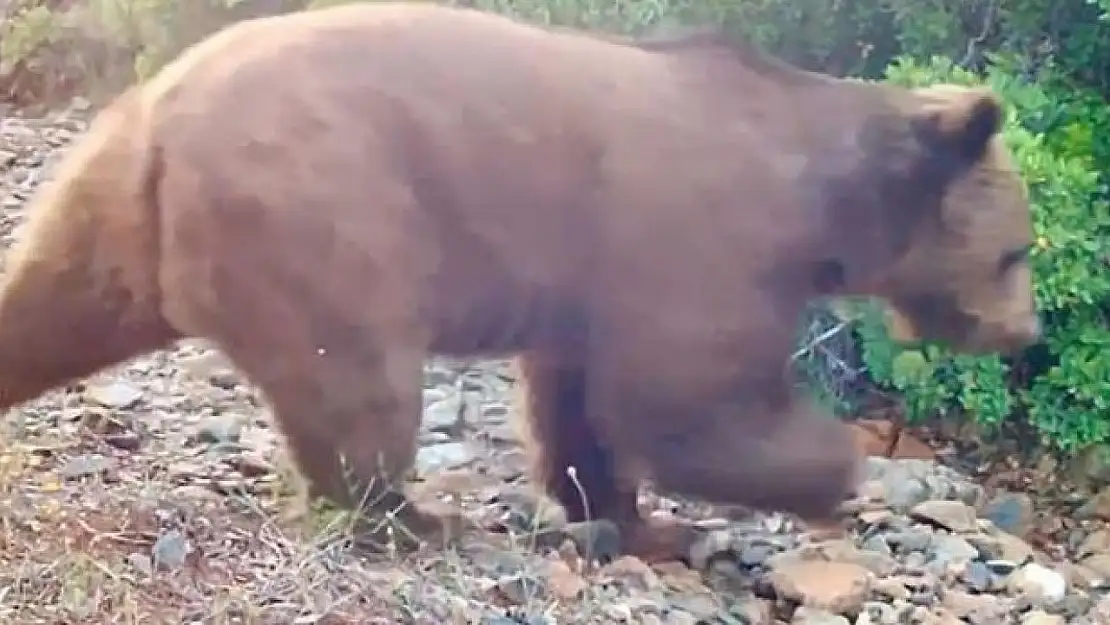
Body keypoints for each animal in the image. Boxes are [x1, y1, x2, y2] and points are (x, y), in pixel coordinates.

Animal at [0, 3, 1038, 561]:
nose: (1023, 333)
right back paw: (415, 517)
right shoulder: (698, 238)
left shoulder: (592, 280)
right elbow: (685, 398)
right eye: (1018, 252)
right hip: (330, 209)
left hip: (104, 204)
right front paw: (835, 469)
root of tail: (165, 117)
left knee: (45, 305)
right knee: (360, 380)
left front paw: (633, 520)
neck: (820, 200)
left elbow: (580, 405)